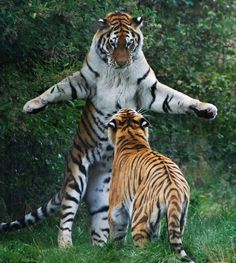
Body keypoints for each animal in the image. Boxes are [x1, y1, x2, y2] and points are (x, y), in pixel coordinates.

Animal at [108, 108, 194, 262]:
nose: (126, 108)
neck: (131, 136)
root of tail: (173, 188)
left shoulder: (115, 206)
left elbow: (117, 232)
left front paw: (114, 251)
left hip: (138, 219)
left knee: (145, 251)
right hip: (181, 216)